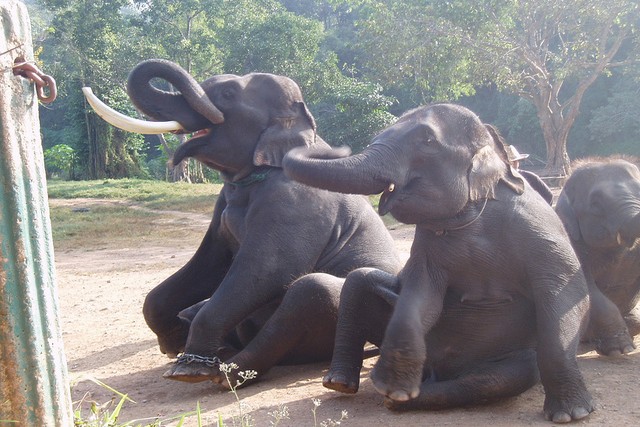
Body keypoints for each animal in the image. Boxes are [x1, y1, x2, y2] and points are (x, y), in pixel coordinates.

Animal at [83, 58, 400, 390]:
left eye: (228, 93)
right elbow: (211, 264)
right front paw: (173, 342)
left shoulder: (298, 201)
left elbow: (268, 269)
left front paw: (187, 367)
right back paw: (215, 350)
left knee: (312, 290)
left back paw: (223, 374)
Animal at [282, 103, 608, 422]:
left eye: (427, 141)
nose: (336, 145)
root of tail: (439, 373)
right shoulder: (426, 246)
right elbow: (422, 295)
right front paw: (392, 384)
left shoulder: (541, 232)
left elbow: (565, 293)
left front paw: (572, 414)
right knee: (359, 279)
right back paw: (350, 386)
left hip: (505, 360)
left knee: (502, 377)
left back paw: (398, 401)